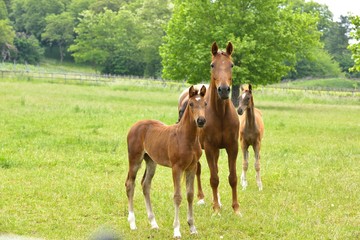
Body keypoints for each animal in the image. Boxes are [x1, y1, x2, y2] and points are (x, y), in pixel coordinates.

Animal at [125, 85, 207, 239]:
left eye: (205, 103)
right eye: (191, 104)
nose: (201, 120)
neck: (187, 138)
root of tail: (135, 125)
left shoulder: (192, 167)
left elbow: (190, 195)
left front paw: (192, 227)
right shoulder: (177, 168)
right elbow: (177, 197)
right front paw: (177, 230)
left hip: (151, 161)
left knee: (145, 185)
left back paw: (153, 223)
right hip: (135, 159)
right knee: (130, 184)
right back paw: (132, 223)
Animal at [176, 42, 239, 215]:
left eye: (231, 65)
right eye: (212, 65)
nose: (223, 90)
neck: (220, 114)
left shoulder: (232, 147)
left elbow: (232, 178)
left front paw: (236, 209)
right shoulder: (210, 148)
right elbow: (214, 178)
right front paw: (216, 209)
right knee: (197, 169)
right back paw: (201, 198)